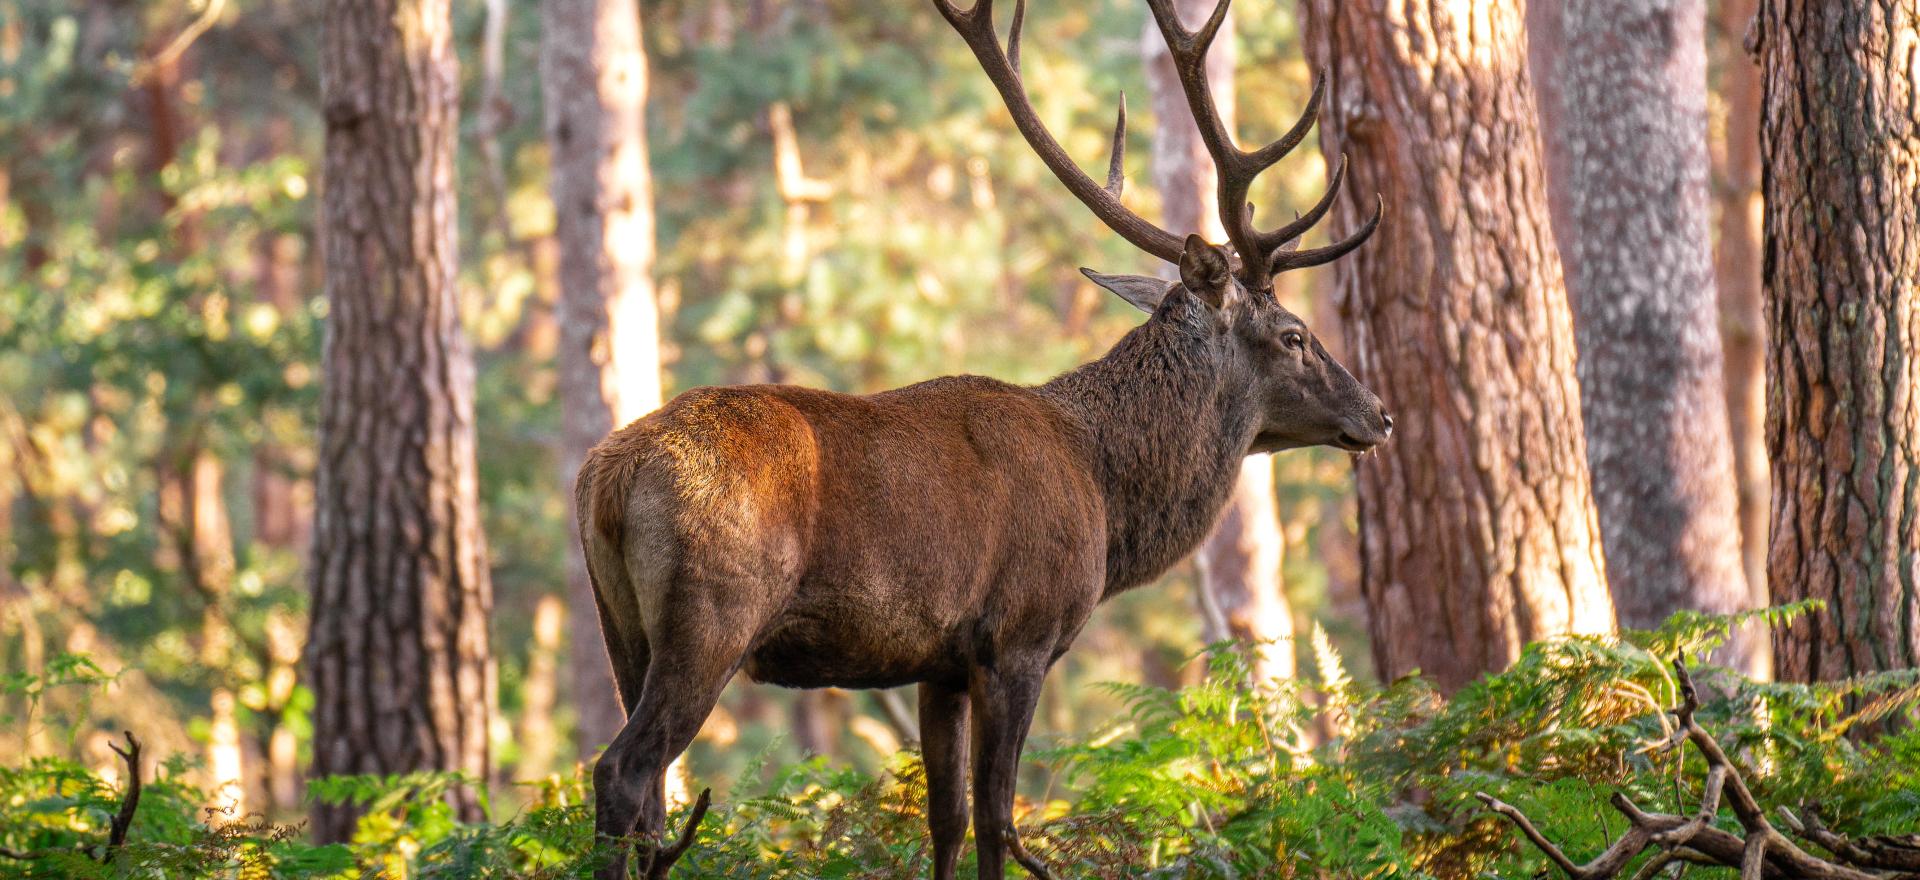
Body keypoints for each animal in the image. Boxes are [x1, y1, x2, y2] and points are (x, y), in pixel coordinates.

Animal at [574, 1, 1388, 878]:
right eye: (1295, 334)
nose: (1379, 414)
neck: (1107, 493)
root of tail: (606, 478)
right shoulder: (1018, 639)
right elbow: (1000, 820)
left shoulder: (940, 666)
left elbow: (949, 819)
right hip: (713, 613)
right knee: (624, 772)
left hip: (620, 627)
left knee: (644, 795)